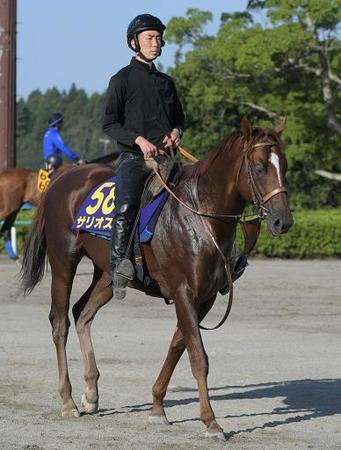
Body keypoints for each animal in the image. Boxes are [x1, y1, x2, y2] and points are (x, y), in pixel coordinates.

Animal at [21, 118, 292, 442]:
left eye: (284, 165)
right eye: (260, 168)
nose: (283, 221)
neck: (199, 215)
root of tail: (62, 179)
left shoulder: (205, 296)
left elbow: (177, 347)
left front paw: (157, 406)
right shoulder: (183, 290)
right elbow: (198, 356)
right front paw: (211, 422)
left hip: (108, 274)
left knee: (82, 313)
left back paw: (91, 393)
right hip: (64, 260)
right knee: (60, 321)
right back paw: (68, 400)